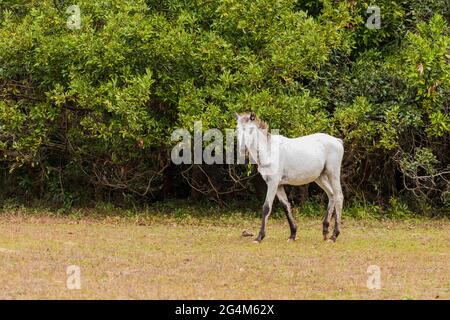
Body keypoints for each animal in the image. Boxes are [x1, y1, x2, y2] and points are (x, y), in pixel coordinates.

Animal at [236, 112, 344, 242]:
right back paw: (325, 231)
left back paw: (334, 235)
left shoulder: (273, 183)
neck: (268, 151)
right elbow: (286, 206)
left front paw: (259, 237)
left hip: (333, 174)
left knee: (338, 197)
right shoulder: (278, 185)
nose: (242, 149)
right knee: (331, 195)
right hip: (320, 178)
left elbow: (266, 207)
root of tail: (337, 140)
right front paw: (292, 234)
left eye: (250, 130)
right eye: (237, 129)